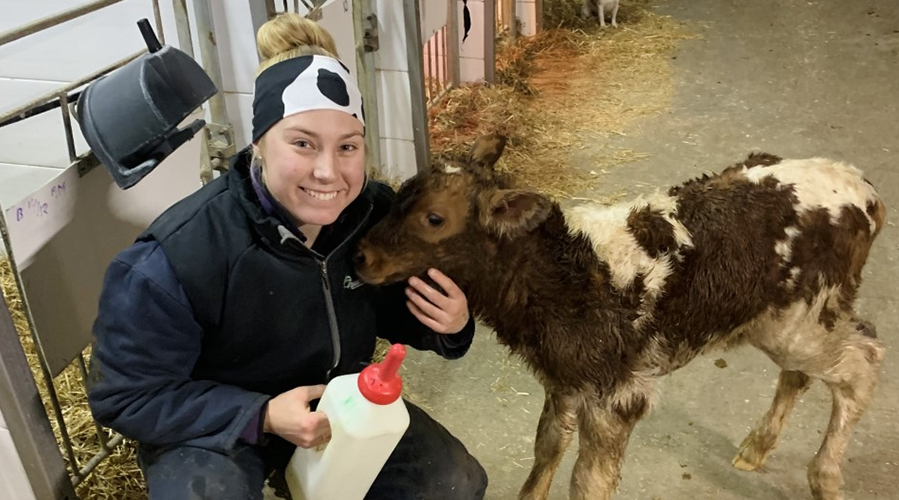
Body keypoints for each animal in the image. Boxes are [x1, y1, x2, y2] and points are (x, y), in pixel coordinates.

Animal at [352, 135, 884, 500]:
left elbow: (588, 481)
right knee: (801, 373)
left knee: (862, 363)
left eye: (434, 218)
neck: (565, 274)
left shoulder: (618, 396)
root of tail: (863, 190)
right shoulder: (566, 379)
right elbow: (546, 448)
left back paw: (825, 479)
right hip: (785, 323)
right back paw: (757, 447)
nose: (360, 256)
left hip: (804, 318)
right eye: (402, 191)